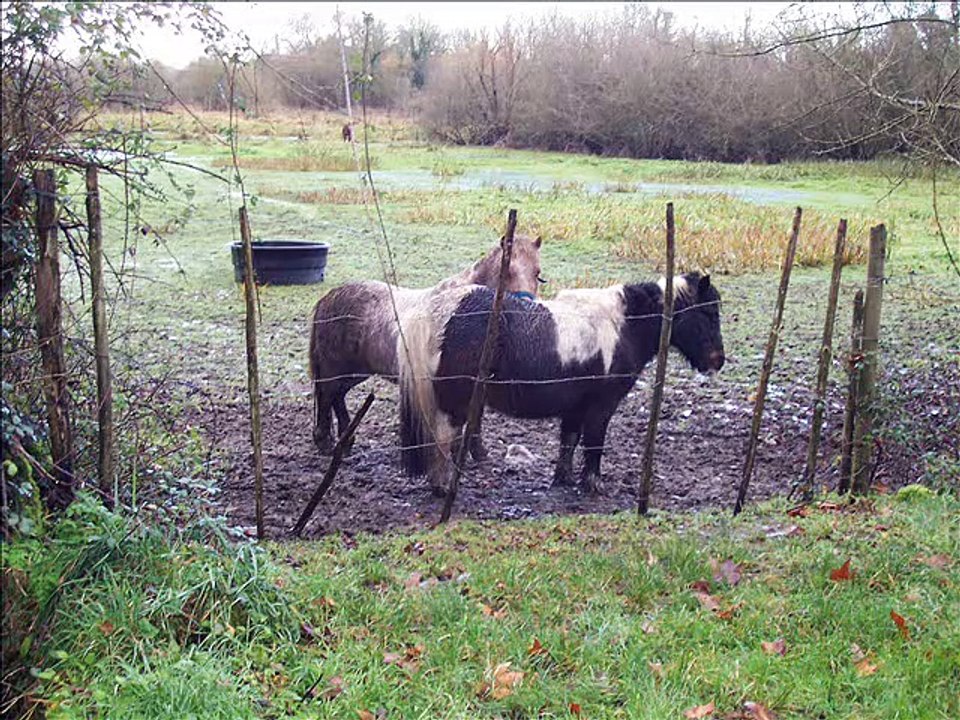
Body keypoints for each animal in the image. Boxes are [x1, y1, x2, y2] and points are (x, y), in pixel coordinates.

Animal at [309, 235, 544, 456]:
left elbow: (476, 417)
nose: (528, 308)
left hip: (356, 372)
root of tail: (327, 298)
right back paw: (325, 442)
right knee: (328, 395)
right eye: (508, 272)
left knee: (337, 396)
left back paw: (345, 442)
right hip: (337, 369)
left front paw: (476, 453)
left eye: (538, 274)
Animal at [398, 272, 724, 495]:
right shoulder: (601, 406)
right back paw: (444, 485)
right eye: (708, 312)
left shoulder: (576, 406)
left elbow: (569, 440)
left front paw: (563, 479)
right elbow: (594, 443)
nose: (717, 360)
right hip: (455, 402)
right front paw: (593, 485)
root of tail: (439, 311)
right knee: (442, 437)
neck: (623, 324)